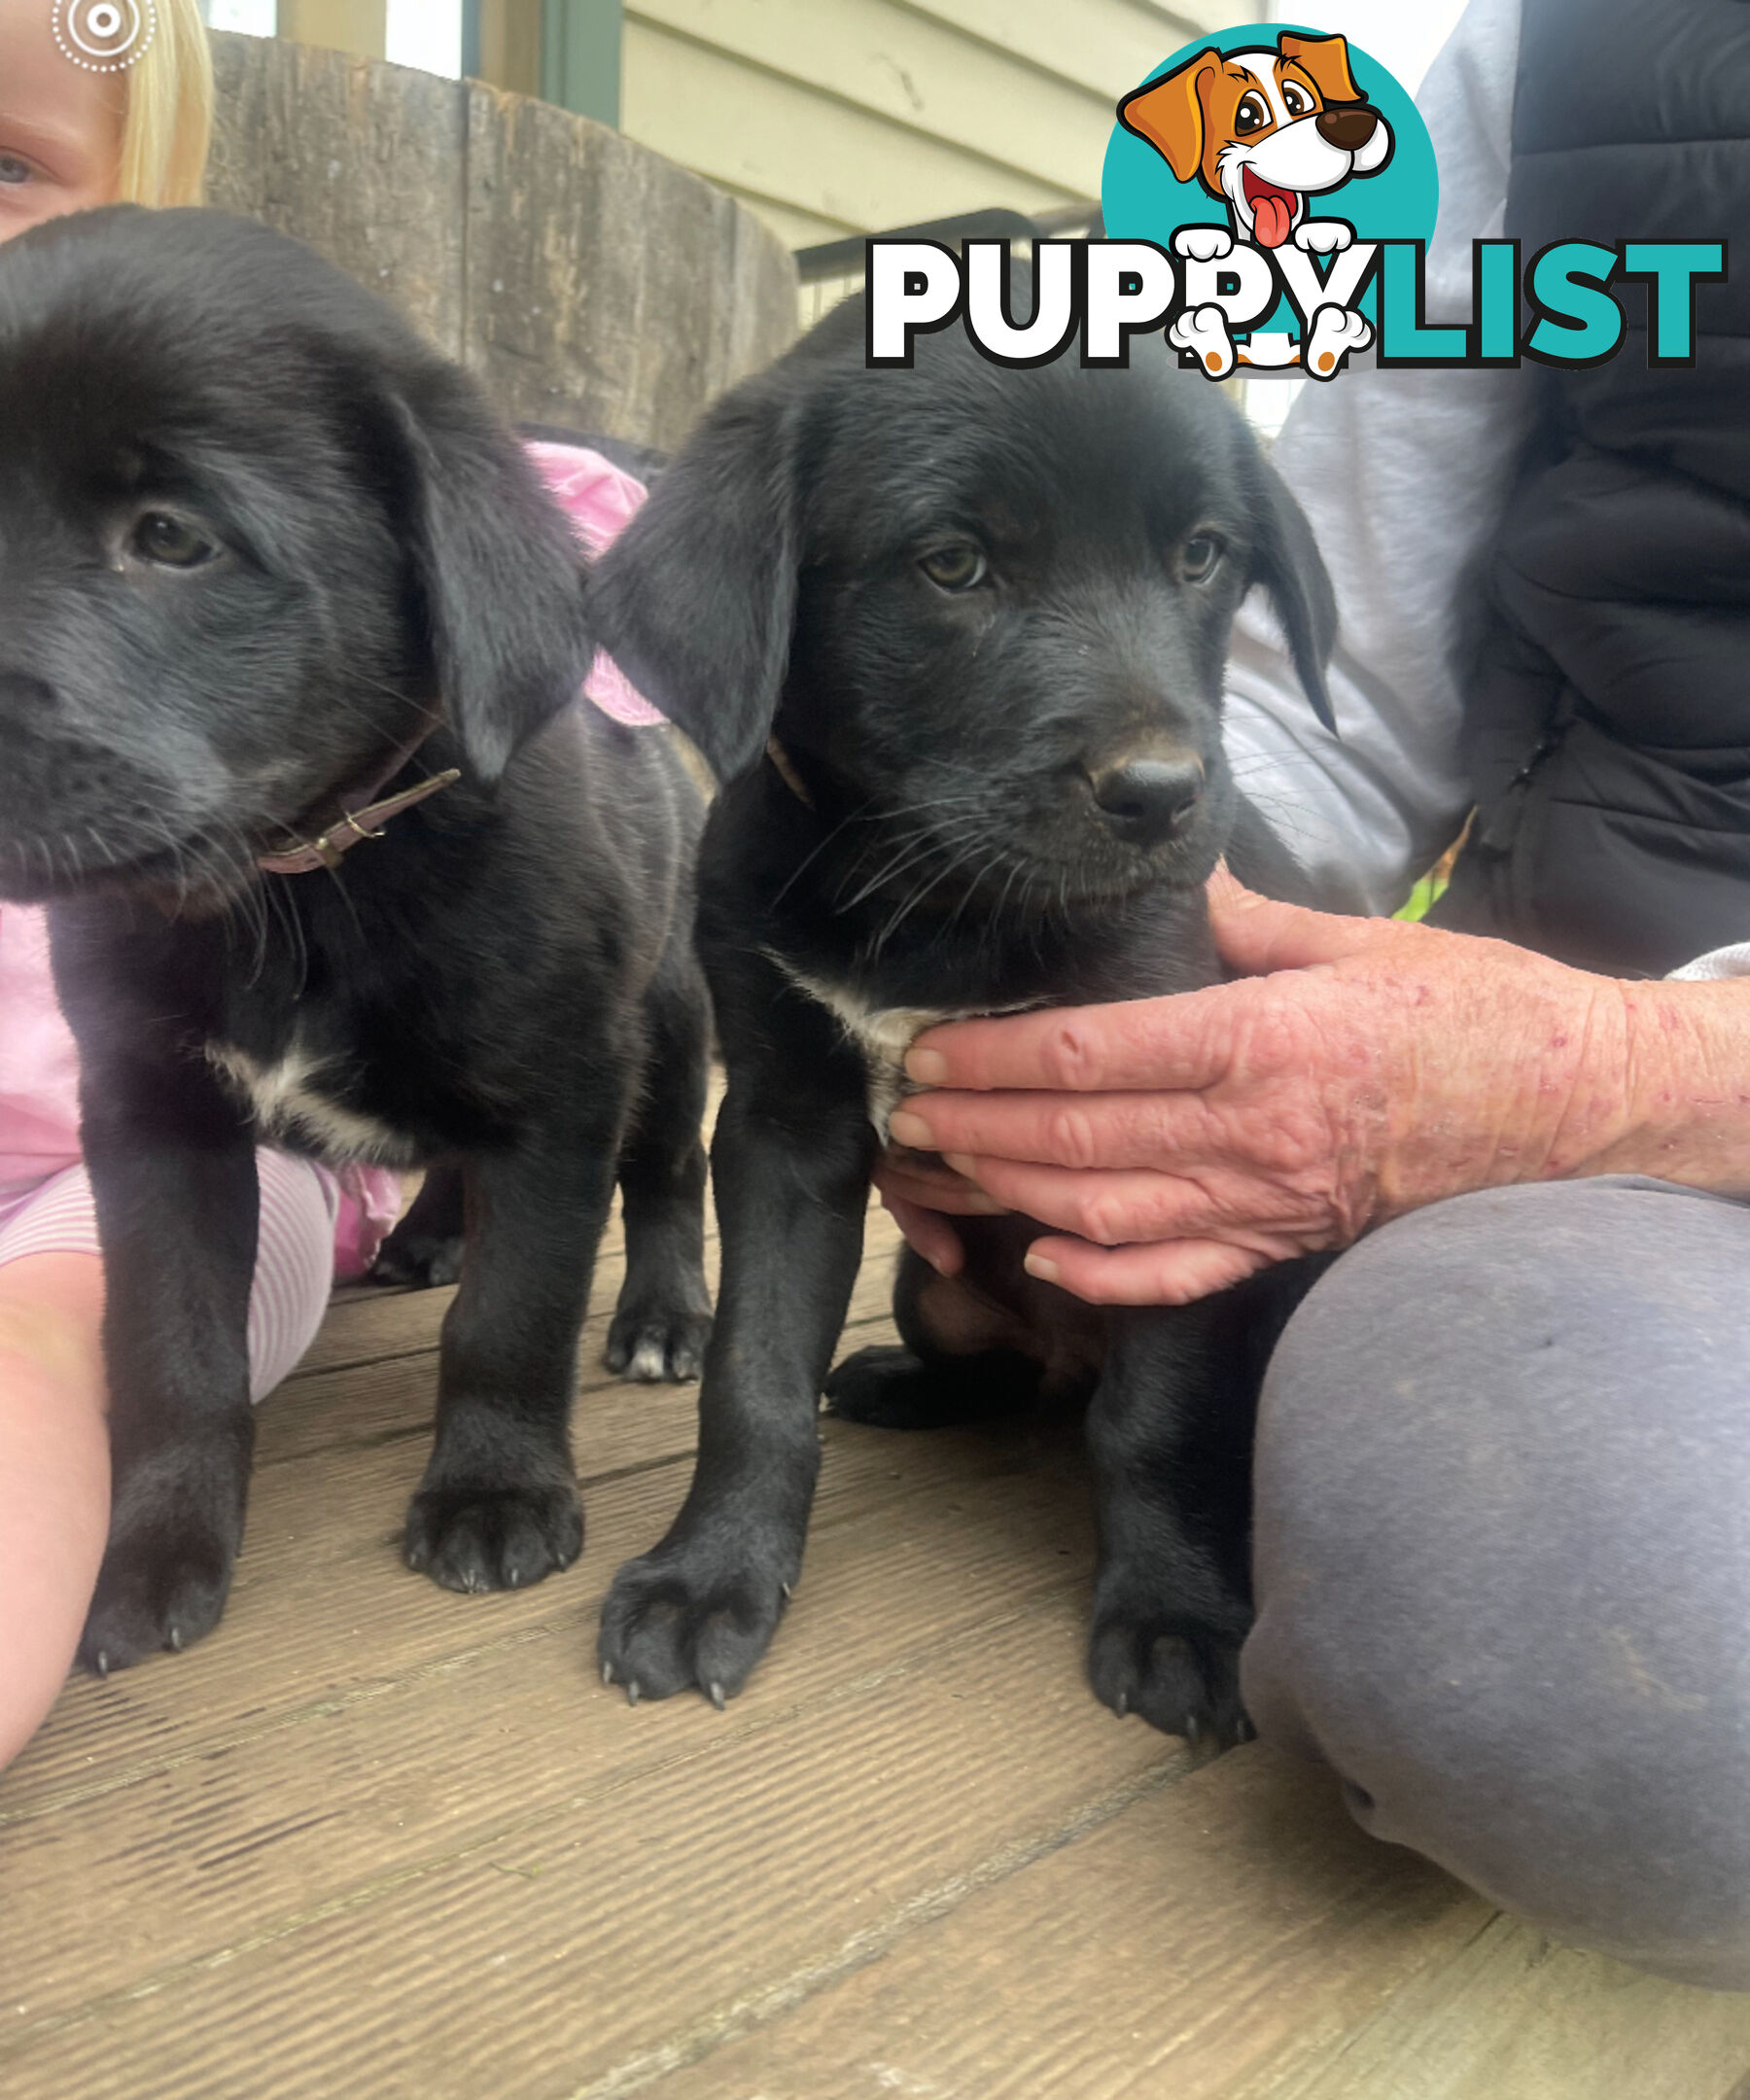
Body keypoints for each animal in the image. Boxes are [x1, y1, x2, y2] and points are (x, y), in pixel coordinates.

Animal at [0, 204, 718, 1662]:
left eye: (172, 536)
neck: (303, 881)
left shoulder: (564, 1097)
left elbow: (513, 1314)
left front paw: (495, 1493)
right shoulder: (152, 1119)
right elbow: (171, 1348)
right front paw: (153, 1554)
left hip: (667, 1027)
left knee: (671, 1175)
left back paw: (665, 1315)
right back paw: (432, 1230)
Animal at [592, 292, 1327, 1738]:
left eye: (1202, 555)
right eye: (952, 564)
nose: (1163, 796)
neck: (936, 901)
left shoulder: (1171, 1159)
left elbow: (1157, 1418)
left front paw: (1176, 1614)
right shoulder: (782, 1128)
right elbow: (752, 1376)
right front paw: (711, 1577)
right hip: (926, 1280)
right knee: (1003, 1370)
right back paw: (906, 1379)